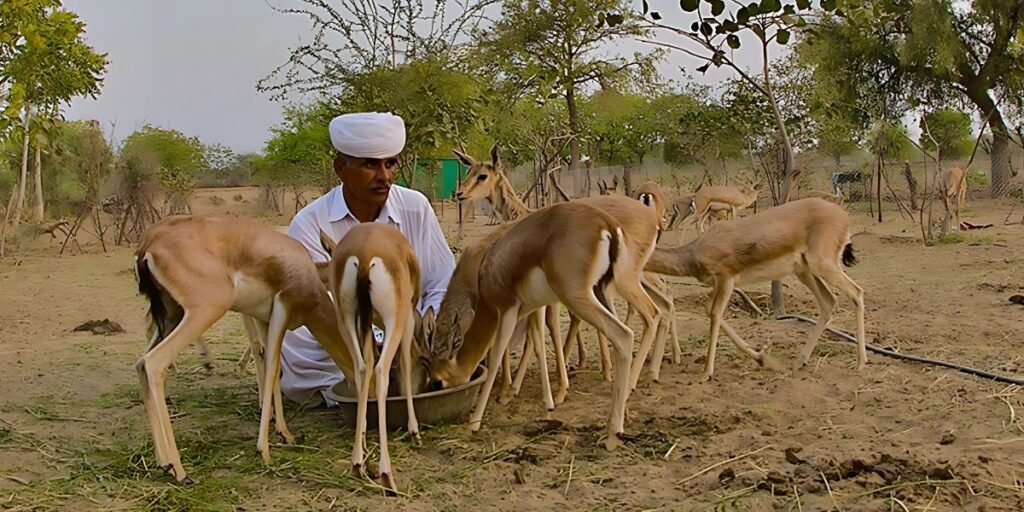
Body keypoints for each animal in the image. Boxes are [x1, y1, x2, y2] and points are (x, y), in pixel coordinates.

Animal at [132, 215, 358, 483]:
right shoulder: (282, 308)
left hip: (171, 316)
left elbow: (272, 366)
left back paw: (162, 462)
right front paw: (264, 450)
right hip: (204, 311)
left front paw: (283, 432)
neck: (304, 269)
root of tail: (149, 243)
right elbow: (270, 368)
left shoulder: (264, 319)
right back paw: (179, 470)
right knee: (153, 364)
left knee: (140, 364)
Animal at [323, 223, 428, 491]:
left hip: (346, 319)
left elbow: (368, 364)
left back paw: (357, 462)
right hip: (394, 319)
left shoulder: (366, 324)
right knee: (381, 371)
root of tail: (364, 254)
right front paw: (414, 431)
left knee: (362, 368)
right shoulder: (408, 317)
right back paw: (386, 473)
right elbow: (405, 362)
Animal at [425, 199, 655, 448]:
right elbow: (536, 343)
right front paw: (545, 401)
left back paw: (613, 434)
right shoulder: (533, 308)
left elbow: (496, 356)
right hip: (602, 291)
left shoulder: (507, 310)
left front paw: (475, 422)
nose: (432, 386)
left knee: (624, 334)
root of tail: (607, 223)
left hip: (578, 297)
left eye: (437, 381)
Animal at [452, 146, 667, 389]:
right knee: (661, 302)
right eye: (468, 171)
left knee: (654, 307)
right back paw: (650, 370)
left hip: (628, 278)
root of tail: (652, 218)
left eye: (482, 175)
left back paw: (633, 378)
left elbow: (548, 326)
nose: (459, 193)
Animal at [643, 197, 868, 382]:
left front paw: (706, 373)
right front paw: (762, 359)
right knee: (829, 302)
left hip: (822, 264)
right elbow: (709, 310)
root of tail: (842, 215)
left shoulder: (726, 280)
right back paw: (800, 362)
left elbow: (715, 314)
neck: (694, 251)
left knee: (856, 292)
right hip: (804, 271)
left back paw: (860, 363)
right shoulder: (718, 285)